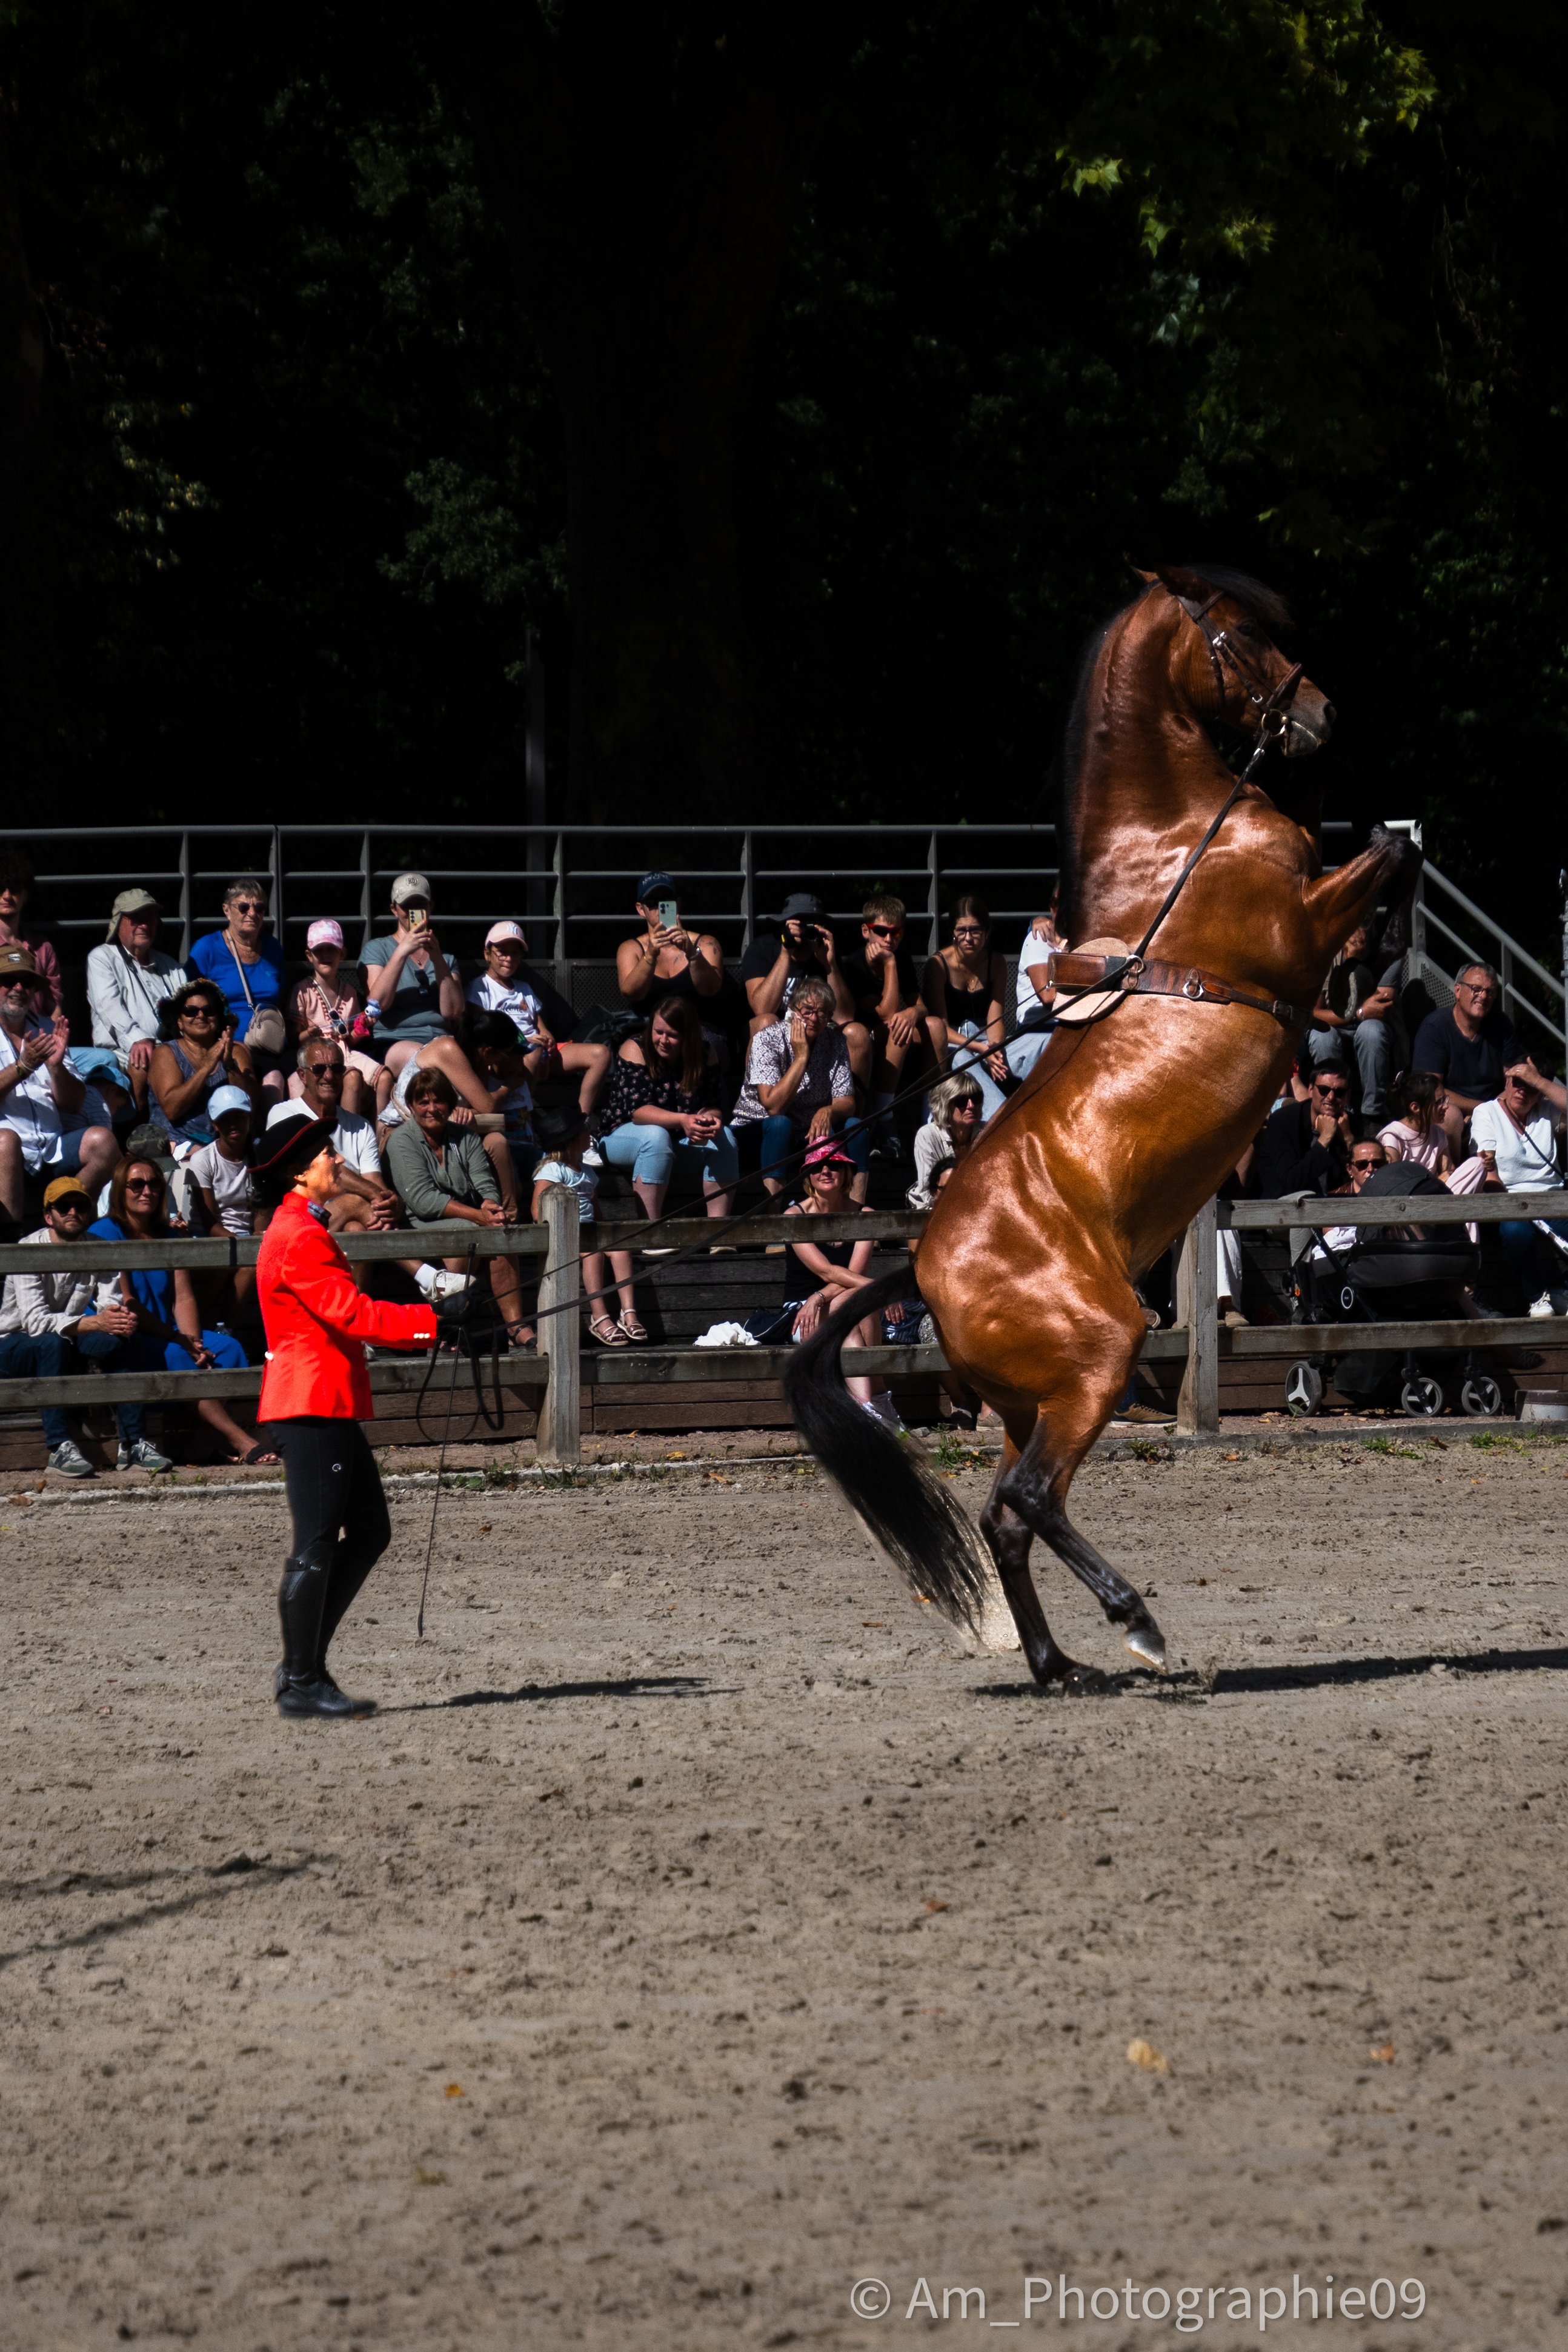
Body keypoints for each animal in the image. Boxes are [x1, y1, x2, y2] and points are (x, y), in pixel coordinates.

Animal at [786, 562, 1421, 1688]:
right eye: (1240, 636)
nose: (1318, 712)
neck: (1174, 841)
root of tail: (923, 1267)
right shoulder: (1302, 922)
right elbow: (1390, 851)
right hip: (1097, 1358)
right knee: (1029, 1499)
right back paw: (1135, 1621)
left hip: (1033, 1400)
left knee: (1004, 1515)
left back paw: (1057, 1664)